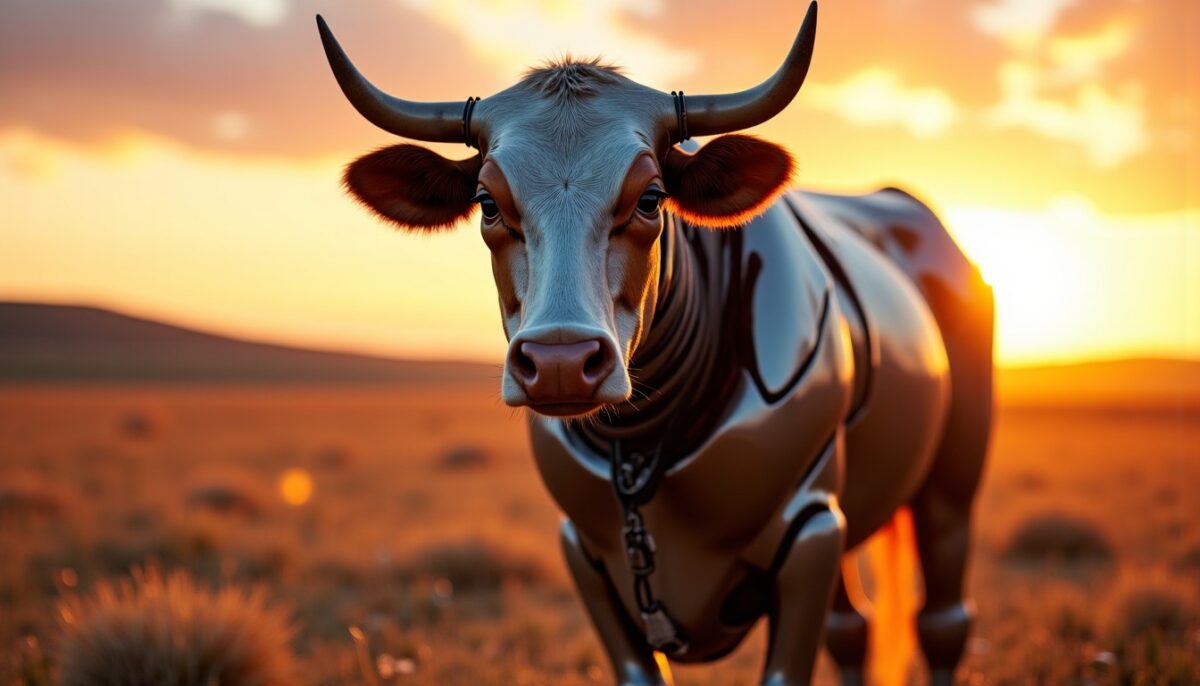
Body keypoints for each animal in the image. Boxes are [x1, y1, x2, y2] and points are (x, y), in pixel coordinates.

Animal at [316, 3, 993, 684]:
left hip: (952, 483)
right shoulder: (584, 550)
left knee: (942, 620)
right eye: (486, 203)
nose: (560, 363)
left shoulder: (812, 528)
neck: (642, 438)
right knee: (852, 629)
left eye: (650, 198)